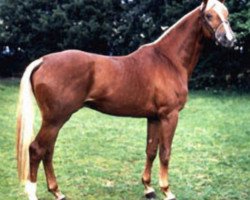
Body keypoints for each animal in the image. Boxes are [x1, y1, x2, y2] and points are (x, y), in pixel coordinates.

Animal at [16, 0, 235, 199]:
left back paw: (57, 192)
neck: (168, 60)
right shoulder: (169, 116)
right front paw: (167, 191)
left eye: (227, 14)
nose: (230, 39)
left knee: (48, 151)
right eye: (208, 15)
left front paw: (149, 189)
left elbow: (151, 150)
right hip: (55, 119)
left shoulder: (154, 117)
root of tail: (43, 61)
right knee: (36, 149)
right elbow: (165, 152)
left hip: (55, 121)